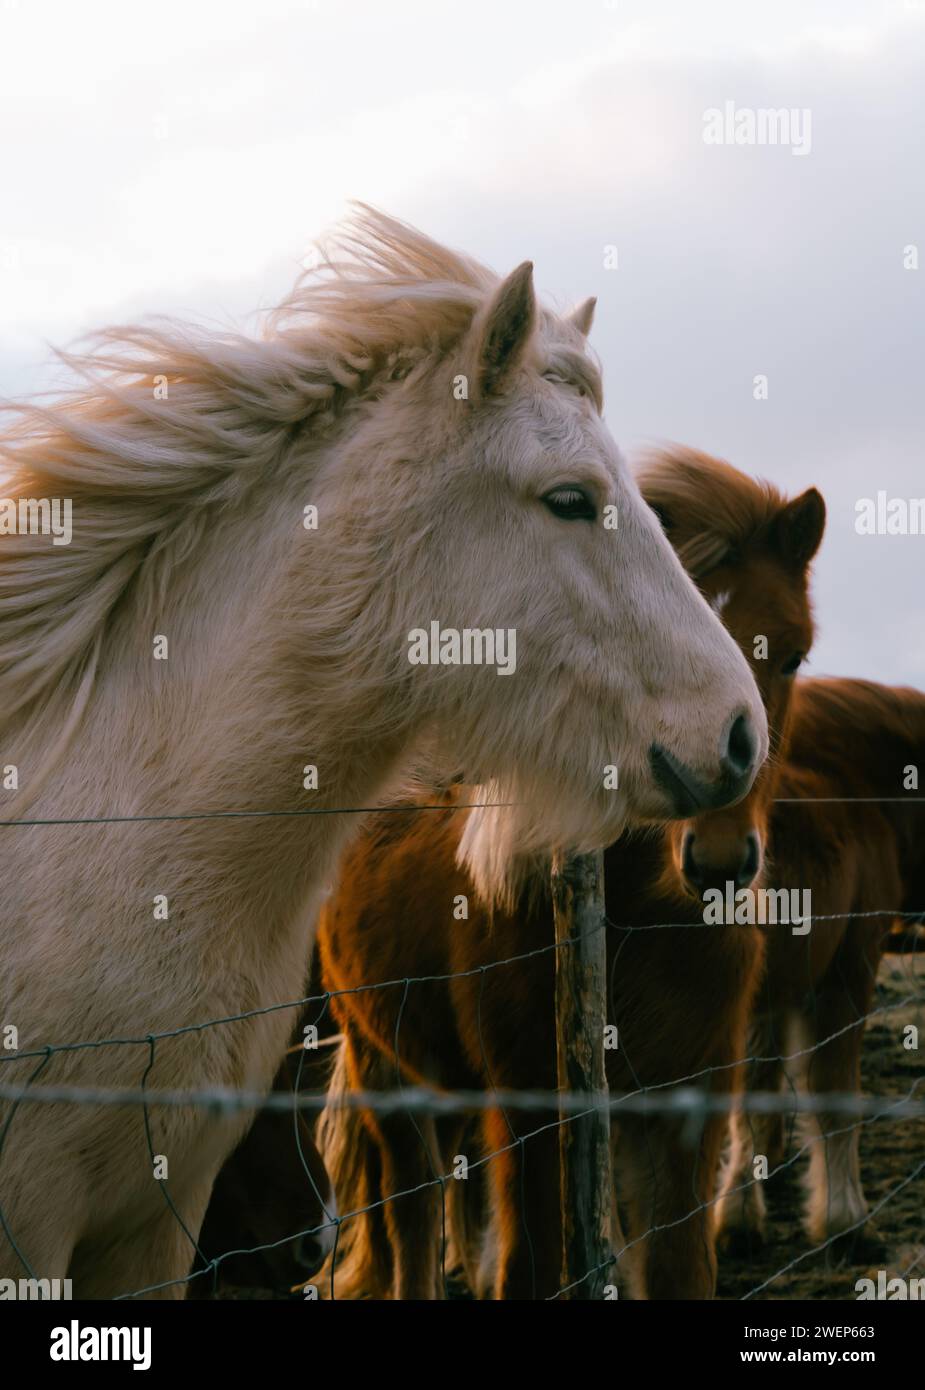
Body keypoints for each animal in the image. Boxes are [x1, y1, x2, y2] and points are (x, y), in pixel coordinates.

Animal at [315, 447, 823, 1301]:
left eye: (790, 654)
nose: (720, 861)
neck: (646, 922)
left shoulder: (684, 1107)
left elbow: (678, 1267)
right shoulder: (531, 1113)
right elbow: (525, 1267)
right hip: (381, 1060)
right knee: (408, 1209)